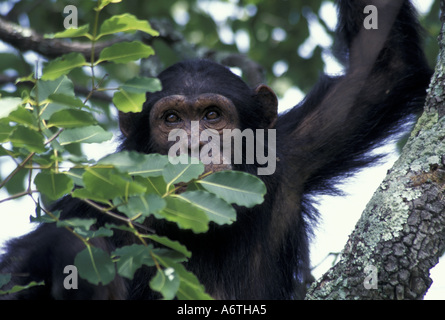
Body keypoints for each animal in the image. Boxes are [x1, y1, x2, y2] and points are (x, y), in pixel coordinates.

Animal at [0, 0, 430, 300]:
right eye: (172, 119)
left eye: (211, 115)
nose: (194, 144)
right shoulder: (94, 199)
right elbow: (22, 264)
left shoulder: (298, 149)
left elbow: (383, 68)